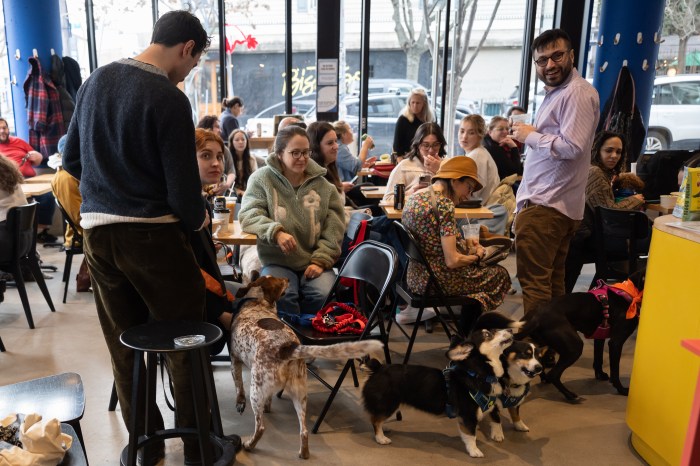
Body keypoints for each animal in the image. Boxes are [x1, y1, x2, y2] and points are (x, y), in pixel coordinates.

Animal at [230, 274, 382, 458]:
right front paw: (268, 406)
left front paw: (240, 403)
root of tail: (289, 348)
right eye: (280, 280)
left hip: (256, 390)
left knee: (260, 427)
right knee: (304, 431)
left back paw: (249, 445)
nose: (288, 279)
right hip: (299, 394)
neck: (259, 303)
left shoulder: (234, 360)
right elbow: (268, 398)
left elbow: (239, 387)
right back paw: (304, 453)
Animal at [364, 330, 512, 456]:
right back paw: (381, 438)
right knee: (375, 420)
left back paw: (384, 428)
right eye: (488, 334)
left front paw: (496, 434)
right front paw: (474, 451)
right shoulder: (468, 416)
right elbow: (471, 435)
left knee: (377, 418)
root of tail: (378, 368)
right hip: (388, 404)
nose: (510, 329)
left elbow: (495, 418)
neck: (477, 374)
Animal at [516, 268, 644, 402]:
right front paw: (621, 389)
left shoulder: (599, 337)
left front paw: (600, 375)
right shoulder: (616, 343)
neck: (630, 292)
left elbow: (598, 359)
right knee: (554, 374)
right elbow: (615, 371)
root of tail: (536, 318)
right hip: (575, 347)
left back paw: (546, 380)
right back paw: (569, 395)